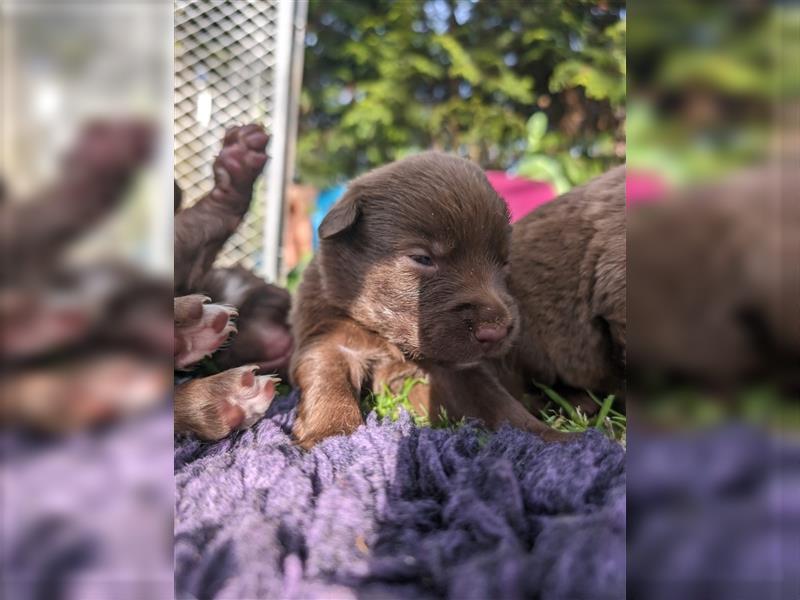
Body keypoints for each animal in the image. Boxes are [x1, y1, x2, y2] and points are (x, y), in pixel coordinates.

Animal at [290, 152, 564, 448]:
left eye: (504, 263)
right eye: (422, 258)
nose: (496, 331)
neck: (389, 340)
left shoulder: (461, 371)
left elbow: (497, 402)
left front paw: (552, 438)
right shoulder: (329, 336)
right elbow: (328, 379)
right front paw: (332, 435)